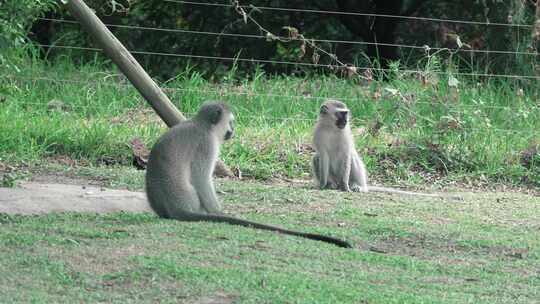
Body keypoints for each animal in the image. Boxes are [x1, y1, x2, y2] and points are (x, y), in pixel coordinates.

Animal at [146, 101, 352, 248]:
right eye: (230, 122)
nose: (233, 130)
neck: (202, 125)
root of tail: (173, 207)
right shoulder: (207, 145)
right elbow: (201, 178)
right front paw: (218, 212)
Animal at [312, 100, 460, 200]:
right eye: (339, 114)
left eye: (345, 114)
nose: (345, 121)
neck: (331, 127)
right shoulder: (318, 133)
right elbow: (323, 156)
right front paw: (323, 185)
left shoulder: (345, 133)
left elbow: (346, 155)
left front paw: (345, 187)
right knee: (316, 158)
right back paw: (331, 184)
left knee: (352, 157)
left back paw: (357, 186)